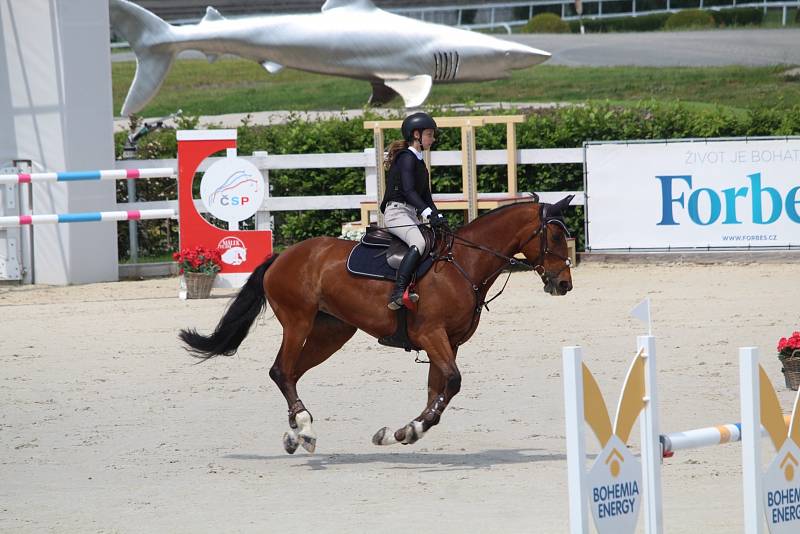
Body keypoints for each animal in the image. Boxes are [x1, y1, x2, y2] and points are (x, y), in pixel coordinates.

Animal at [179, 197, 572, 456]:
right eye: (554, 238)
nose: (564, 284)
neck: (464, 263)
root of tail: (282, 256)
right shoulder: (432, 335)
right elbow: (453, 381)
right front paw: (412, 429)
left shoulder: (448, 342)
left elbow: (438, 390)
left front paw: (404, 432)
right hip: (298, 321)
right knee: (281, 371)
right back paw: (303, 427)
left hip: (332, 332)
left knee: (292, 373)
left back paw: (296, 433)